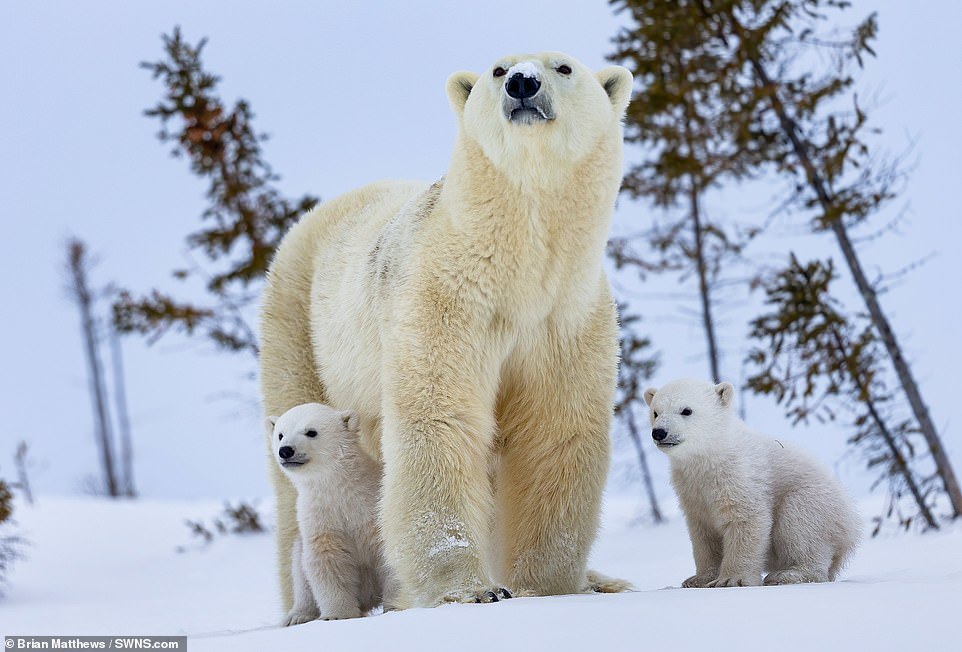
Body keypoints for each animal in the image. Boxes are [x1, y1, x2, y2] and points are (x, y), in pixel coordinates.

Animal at [260, 53, 632, 608]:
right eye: (498, 69)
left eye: (563, 66)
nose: (523, 82)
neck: (521, 270)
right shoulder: (446, 299)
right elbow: (440, 418)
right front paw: (471, 590)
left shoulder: (566, 316)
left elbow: (553, 432)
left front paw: (544, 586)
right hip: (297, 315)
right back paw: (305, 607)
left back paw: (604, 580)